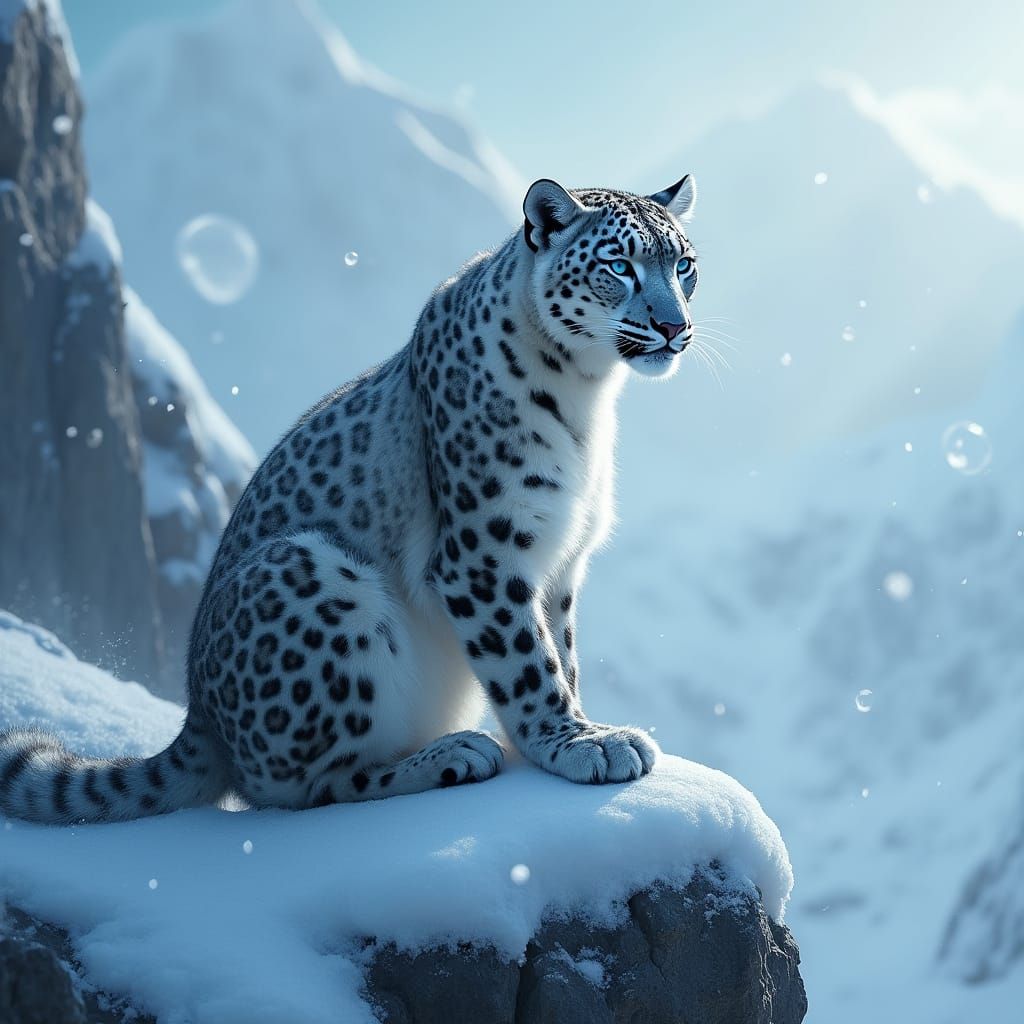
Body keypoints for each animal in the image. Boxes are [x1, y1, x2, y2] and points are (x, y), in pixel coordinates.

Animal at [0, 175, 699, 823]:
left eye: (684, 265)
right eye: (619, 265)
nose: (675, 326)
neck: (588, 396)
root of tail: (197, 714)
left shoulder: (560, 560)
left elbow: (562, 650)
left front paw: (582, 725)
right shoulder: (484, 551)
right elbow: (527, 661)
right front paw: (577, 743)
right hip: (314, 575)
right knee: (310, 786)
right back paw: (450, 755)